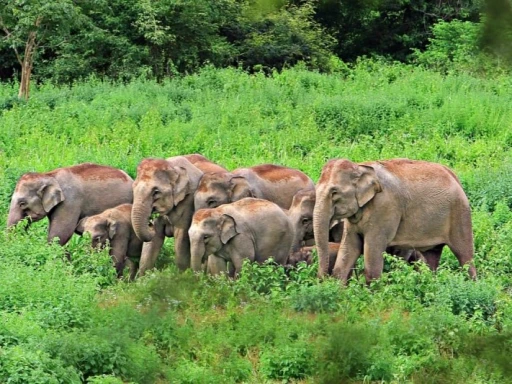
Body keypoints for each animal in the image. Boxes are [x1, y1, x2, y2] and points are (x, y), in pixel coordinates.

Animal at [312, 158, 476, 284]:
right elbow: (350, 247)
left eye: (334, 193)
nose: (321, 279)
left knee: (464, 255)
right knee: (431, 256)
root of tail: (454, 176)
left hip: (460, 213)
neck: (360, 166)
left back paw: (472, 285)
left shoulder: (384, 208)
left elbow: (372, 249)